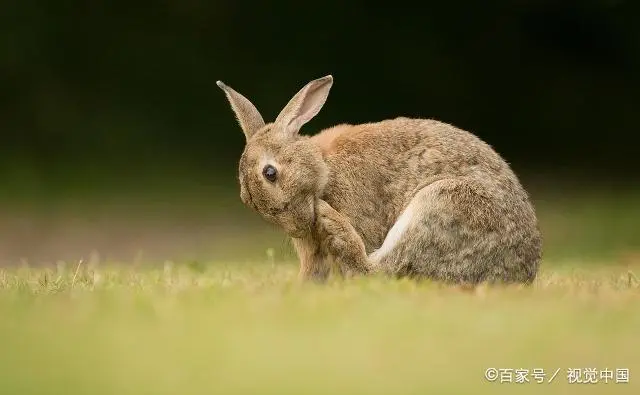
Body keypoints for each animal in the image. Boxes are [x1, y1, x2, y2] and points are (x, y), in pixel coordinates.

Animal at [216, 75, 540, 284]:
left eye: (270, 173)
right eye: (246, 198)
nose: (300, 227)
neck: (323, 170)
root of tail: (521, 273)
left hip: (443, 204)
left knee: (382, 271)